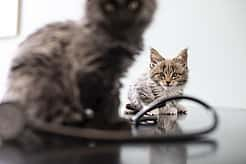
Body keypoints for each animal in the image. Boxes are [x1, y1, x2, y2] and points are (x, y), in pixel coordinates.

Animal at [0, 0, 157, 139]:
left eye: (134, 5)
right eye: (108, 6)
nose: (122, 16)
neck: (119, 40)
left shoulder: (115, 77)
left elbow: (112, 101)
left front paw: (111, 121)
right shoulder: (90, 73)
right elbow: (99, 103)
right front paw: (103, 125)